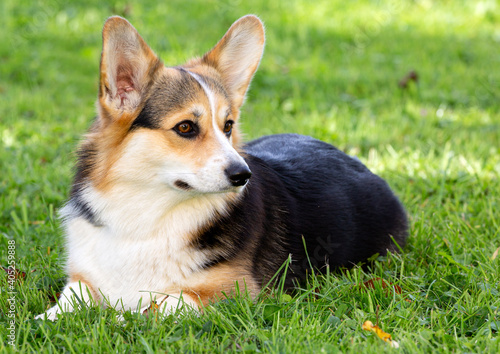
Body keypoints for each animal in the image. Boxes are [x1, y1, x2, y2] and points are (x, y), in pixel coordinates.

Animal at [36, 14, 410, 320]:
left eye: (228, 125)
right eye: (186, 127)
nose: (242, 175)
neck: (145, 217)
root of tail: (358, 162)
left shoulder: (233, 290)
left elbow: (160, 304)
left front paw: (122, 318)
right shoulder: (83, 278)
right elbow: (70, 299)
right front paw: (47, 319)